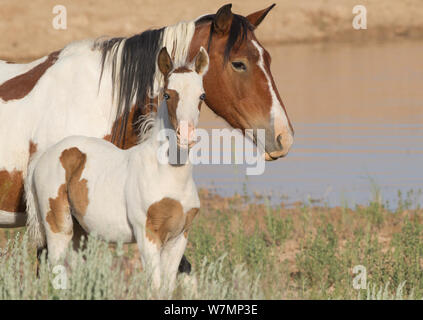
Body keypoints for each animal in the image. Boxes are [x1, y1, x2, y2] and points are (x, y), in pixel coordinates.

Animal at [25, 47, 210, 290]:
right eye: (168, 94)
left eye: (202, 96)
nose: (186, 136)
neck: (168, 175)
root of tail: (43, 157)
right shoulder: (147, 236)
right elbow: (155, 286)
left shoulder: (178, 238)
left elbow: (167, 287)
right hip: (58, 227)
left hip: (79, 233)